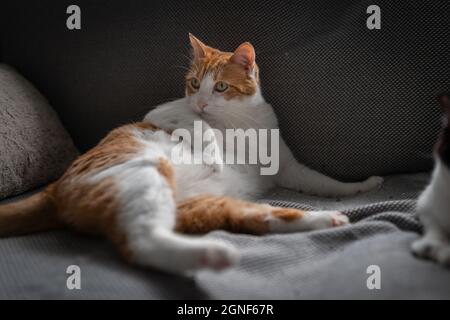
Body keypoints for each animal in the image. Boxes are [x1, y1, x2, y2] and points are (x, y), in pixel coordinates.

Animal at [0, 35, 384, 276]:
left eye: (221, 86)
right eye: (194, 84)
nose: (200, 102)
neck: (241, 122)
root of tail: (53, 189)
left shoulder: (287, 170)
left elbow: (325, 182)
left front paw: (361, 187)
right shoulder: (164, 113)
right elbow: (201, 128)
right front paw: (213, 153)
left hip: (199, 205)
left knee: (256, 218)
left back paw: (327, 219)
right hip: (144, 174)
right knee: (141, 242)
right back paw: (213, 253)